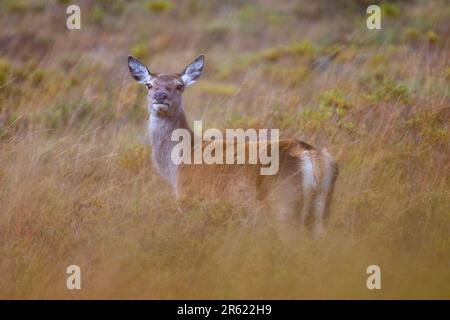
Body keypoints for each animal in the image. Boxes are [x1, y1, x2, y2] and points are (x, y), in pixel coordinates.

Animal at [126, 53, 338, 238]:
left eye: (179, 86)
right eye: (149, 85)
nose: (160, 96)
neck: (178, 164)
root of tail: (313, 158)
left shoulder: (191, 200)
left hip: (283, 202)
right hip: (322, 208)